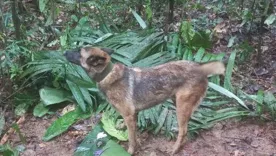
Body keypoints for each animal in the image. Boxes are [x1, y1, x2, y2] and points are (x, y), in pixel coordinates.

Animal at [63, 46, 225, 155]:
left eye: (78, 51)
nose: (64, 52)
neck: (107, 74)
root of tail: (200, 67)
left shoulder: (129, 115)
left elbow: (131, 138)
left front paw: (130, 151)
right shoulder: (132, 115)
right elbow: (130, 130)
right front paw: (124, 130)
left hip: (181, 106)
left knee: (183, 131)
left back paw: (174, 149)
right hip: (177, 102)